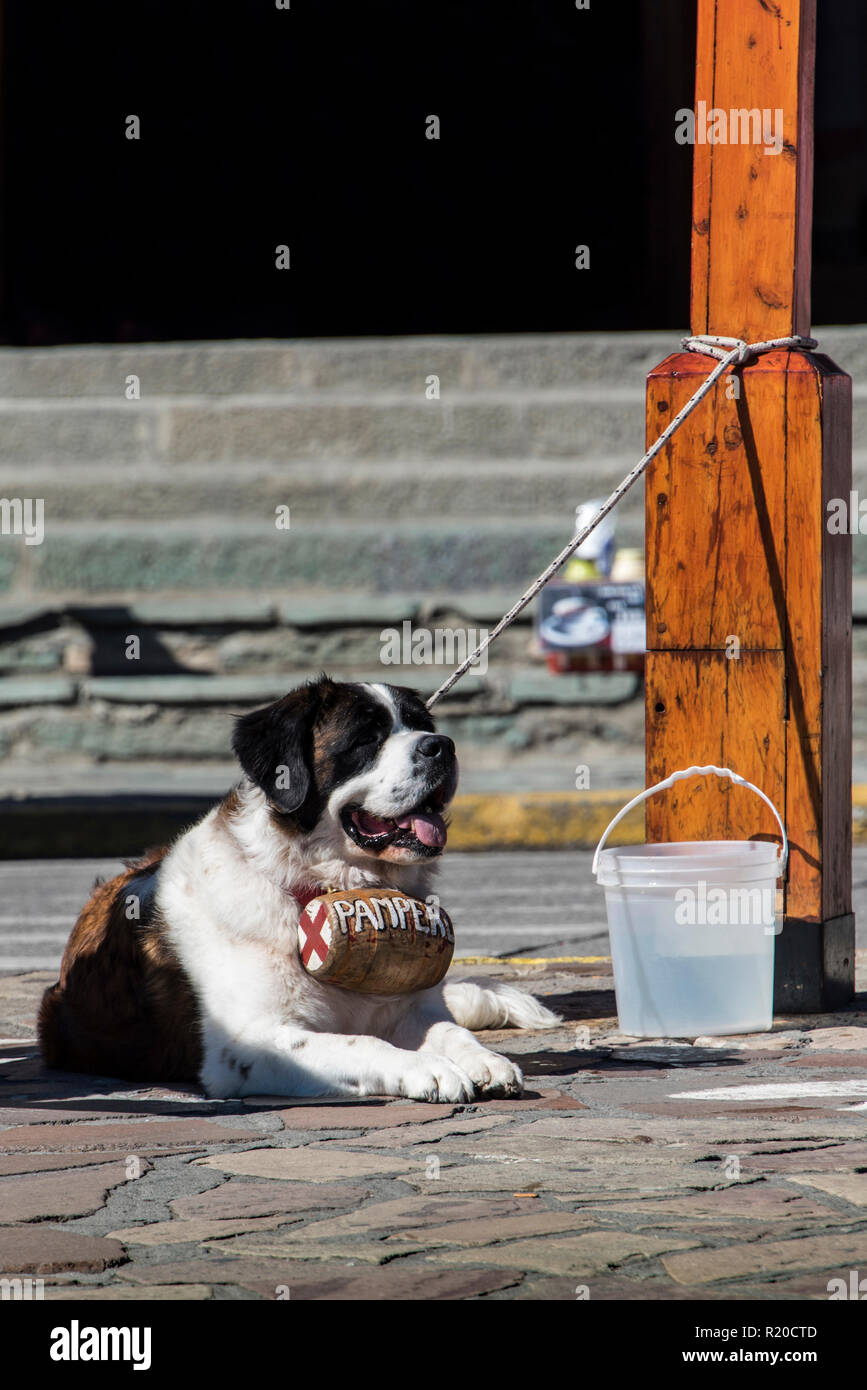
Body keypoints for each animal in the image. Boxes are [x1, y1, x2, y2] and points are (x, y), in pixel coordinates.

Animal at [37, 678, 558, 1100]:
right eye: (366, 739)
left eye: (420, 724)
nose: (441, 746)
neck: (322, 887)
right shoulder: (248, 1044)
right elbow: (362, 1043)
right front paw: (427, 1069)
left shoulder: (408, 1010)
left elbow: (449, 1030)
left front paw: (483, 1060)